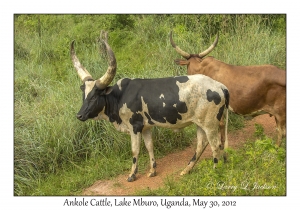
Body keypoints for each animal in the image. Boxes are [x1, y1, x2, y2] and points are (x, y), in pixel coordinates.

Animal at [70, 37, 230, 182]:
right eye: (84, 95)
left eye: (94, 96)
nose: (79, 115)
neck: (120, 96)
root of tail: (221, 86)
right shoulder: (146, 127)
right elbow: (149, 146)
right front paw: (152, 170)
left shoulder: (134, 127)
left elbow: (135, 150)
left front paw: (132, 175)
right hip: (200, 123)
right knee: (202, 144)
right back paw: (187, 170)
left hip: (209, 124)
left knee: (215, 145)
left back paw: (215, 171)